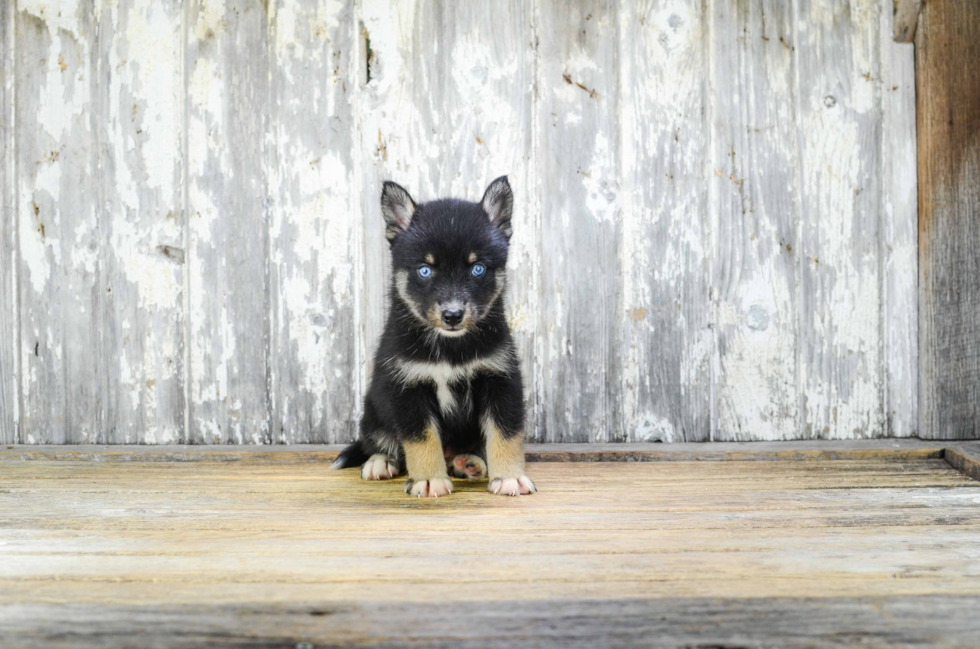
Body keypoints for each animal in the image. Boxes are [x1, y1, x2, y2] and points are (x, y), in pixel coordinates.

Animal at [332, 176, 536, 496]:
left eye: (478, 268)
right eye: (425, 270)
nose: (452, 315)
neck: (450, 348)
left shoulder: (500, 379)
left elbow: (505, 433)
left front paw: (509, 476)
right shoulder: (408, 386)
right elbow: (421, 439)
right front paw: (428, 479)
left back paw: (468, 462)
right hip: (373, 411)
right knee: (379, 442)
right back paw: (381, 462)